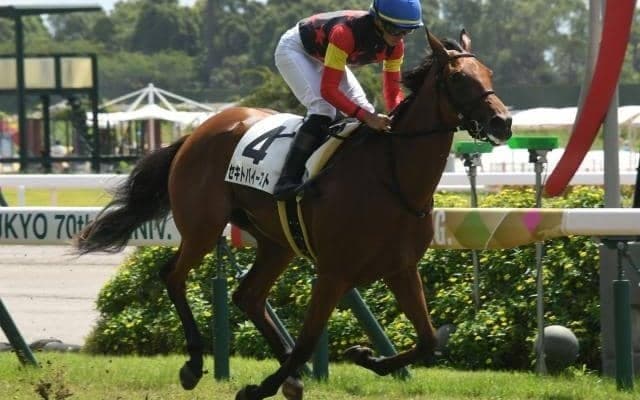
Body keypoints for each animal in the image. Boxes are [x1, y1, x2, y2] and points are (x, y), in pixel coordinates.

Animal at [75, 29, 512, 400]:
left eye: (489, 72)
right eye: (459, 78)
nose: (503, 122)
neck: (393, 178)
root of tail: (197, 132)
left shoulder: (401, 269)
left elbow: (428, 339)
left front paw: (364, 356)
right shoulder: (334, 273)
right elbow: (306, 343)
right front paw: (258, 388)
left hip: (276, 242)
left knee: (247, 296)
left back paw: (289, 376)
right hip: (203, 226)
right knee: (173, 276)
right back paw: (196, 363)